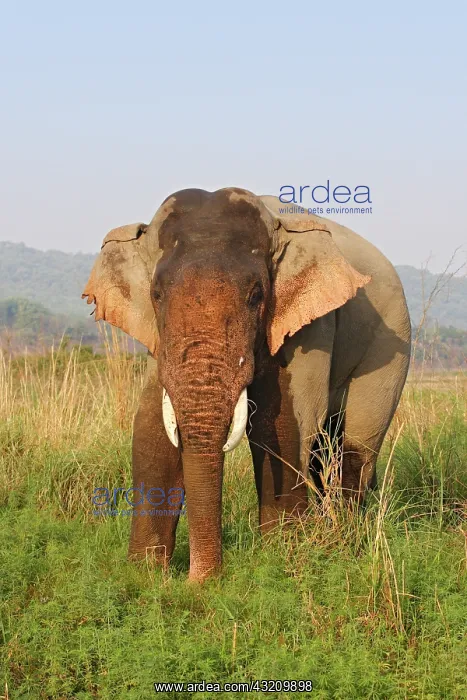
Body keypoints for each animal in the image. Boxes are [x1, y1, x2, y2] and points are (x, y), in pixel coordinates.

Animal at [83, 187, 411, 581]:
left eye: (257, 296)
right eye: (156, 295)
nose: (199, 581)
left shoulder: (311, 323)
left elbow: (281, 422)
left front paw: (282, 561)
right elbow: (152, 426)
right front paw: (145, 573)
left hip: (390, 343)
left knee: (355, 447)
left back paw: (346, 541)